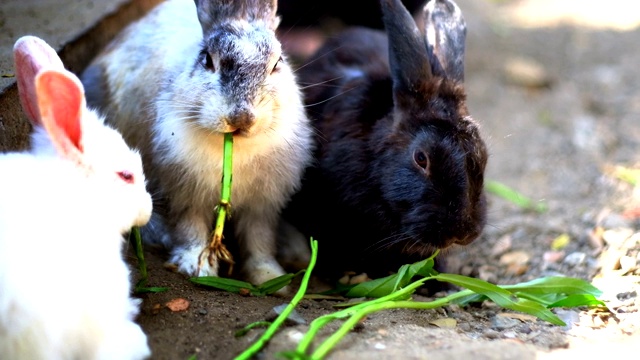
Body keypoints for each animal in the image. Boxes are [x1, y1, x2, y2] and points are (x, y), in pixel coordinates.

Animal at [80, 0, 316, 286]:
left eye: (277, 63)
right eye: (207, 60)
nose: (241, 117)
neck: (233, 151)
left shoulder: (262, 205)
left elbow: (259, 239)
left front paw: (270, 278)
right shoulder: (186, 193)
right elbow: (191, 227)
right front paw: (196, 267)